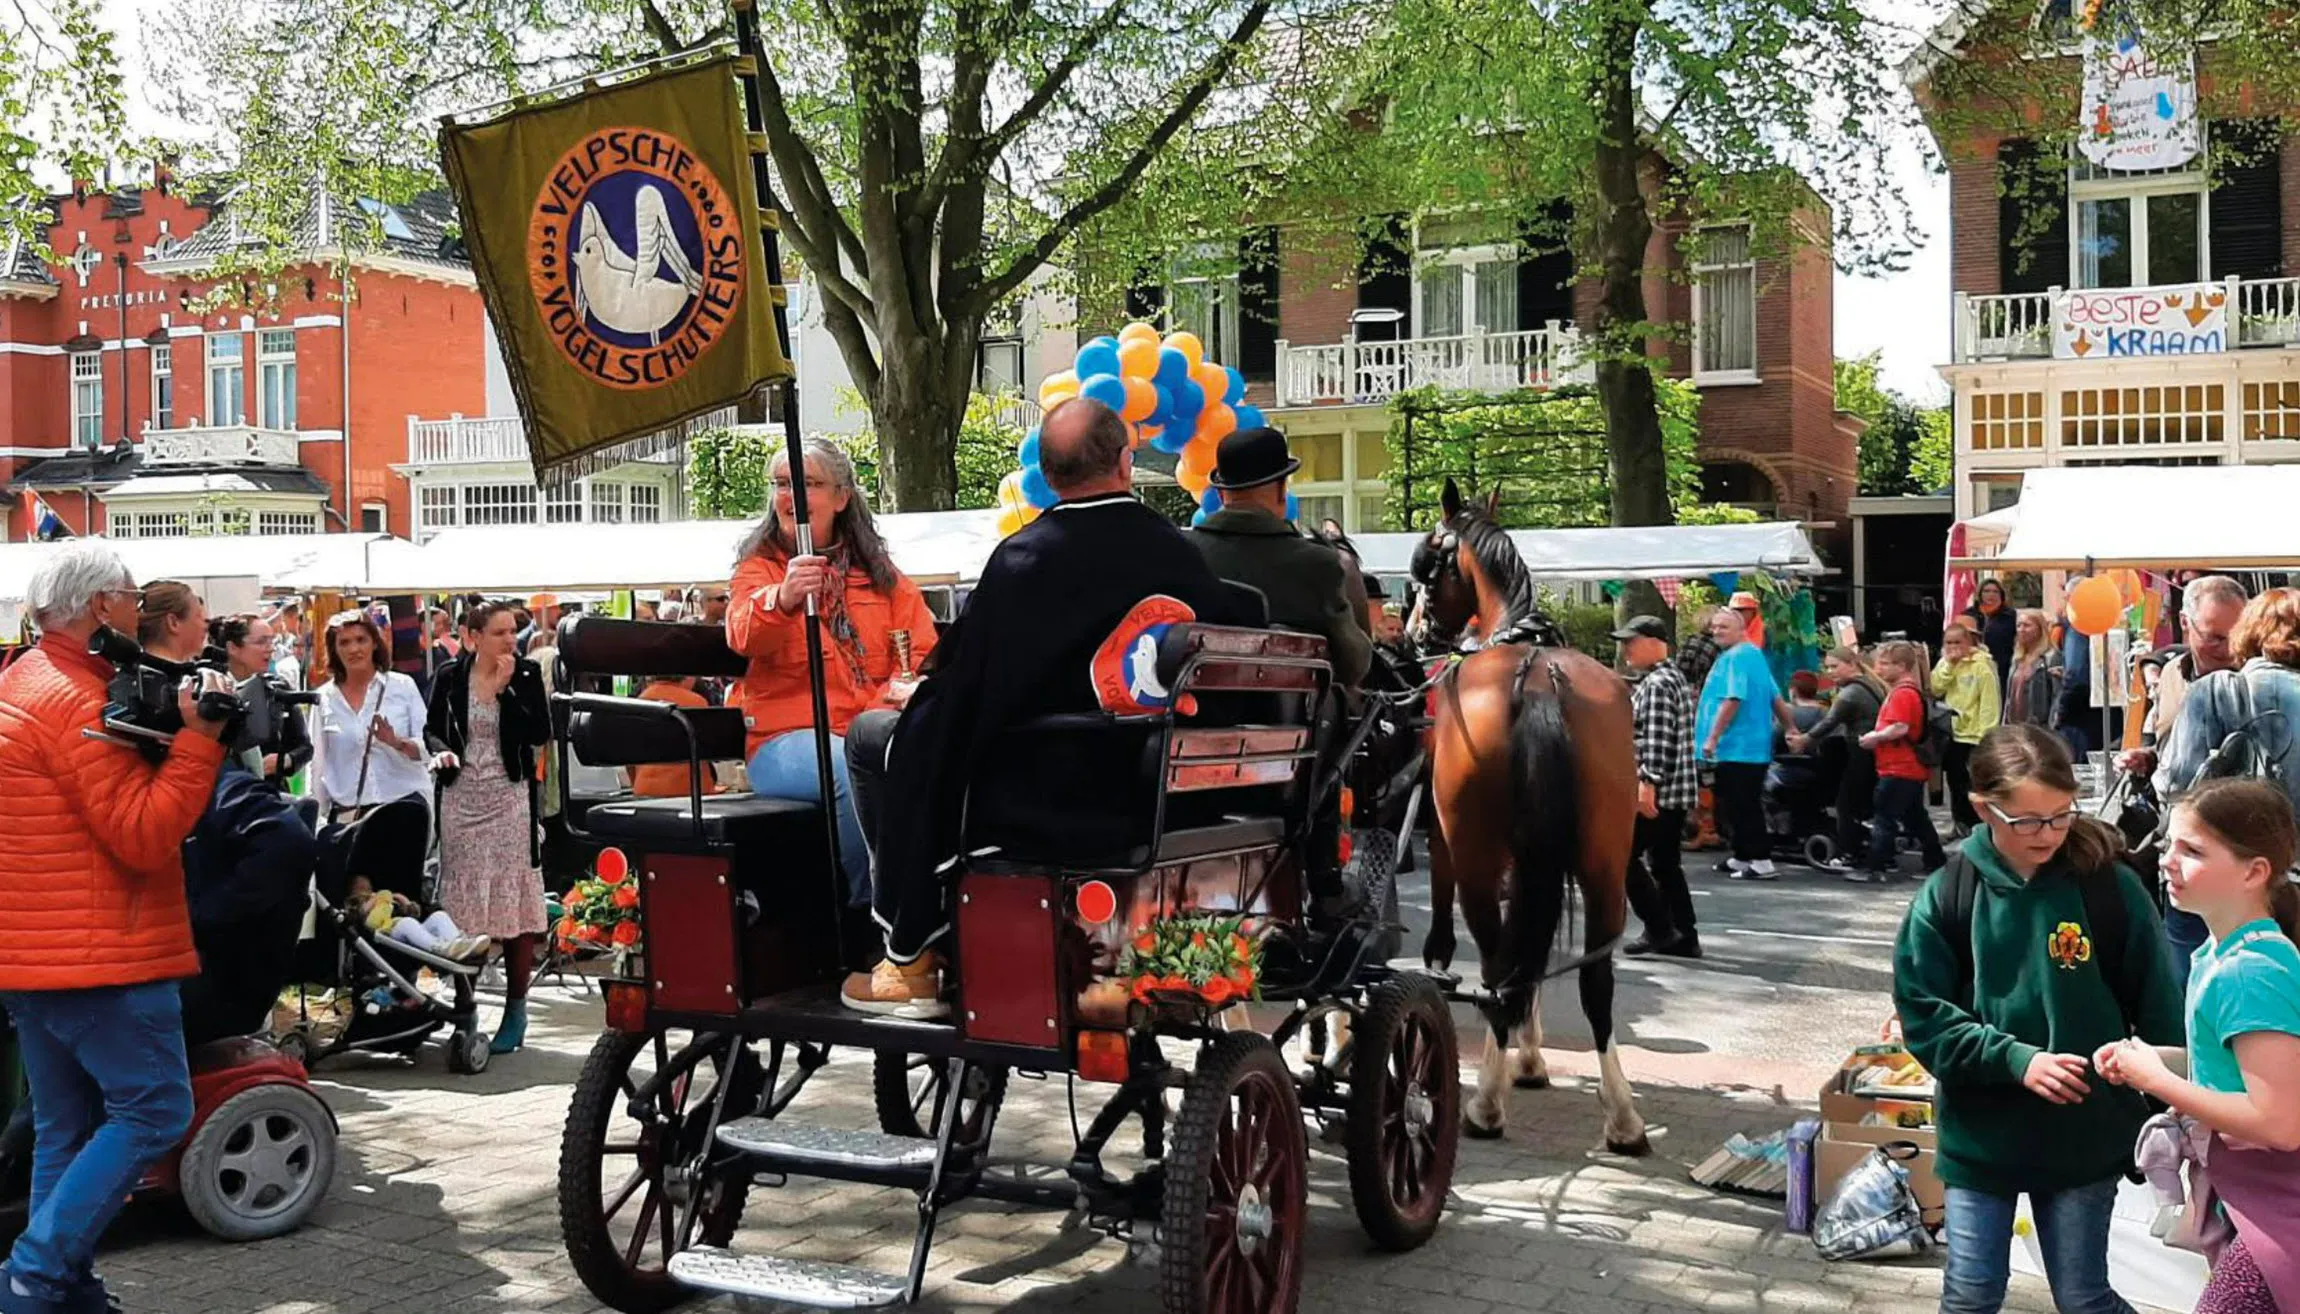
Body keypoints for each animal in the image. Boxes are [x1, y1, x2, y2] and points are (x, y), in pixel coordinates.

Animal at [1407, 483, 1646, 1150]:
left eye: (1426, 567)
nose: (1416, 632)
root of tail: (1537, 680)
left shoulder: (1446, 842)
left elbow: (1487, 946)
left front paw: (1521, 1059)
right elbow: (1532, 946)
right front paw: (1532, 1056)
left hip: (1476, 856)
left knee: (1495, 966)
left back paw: (1487, 1102)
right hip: (1605, 860)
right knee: (1595, 980)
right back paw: (1622, 1116)